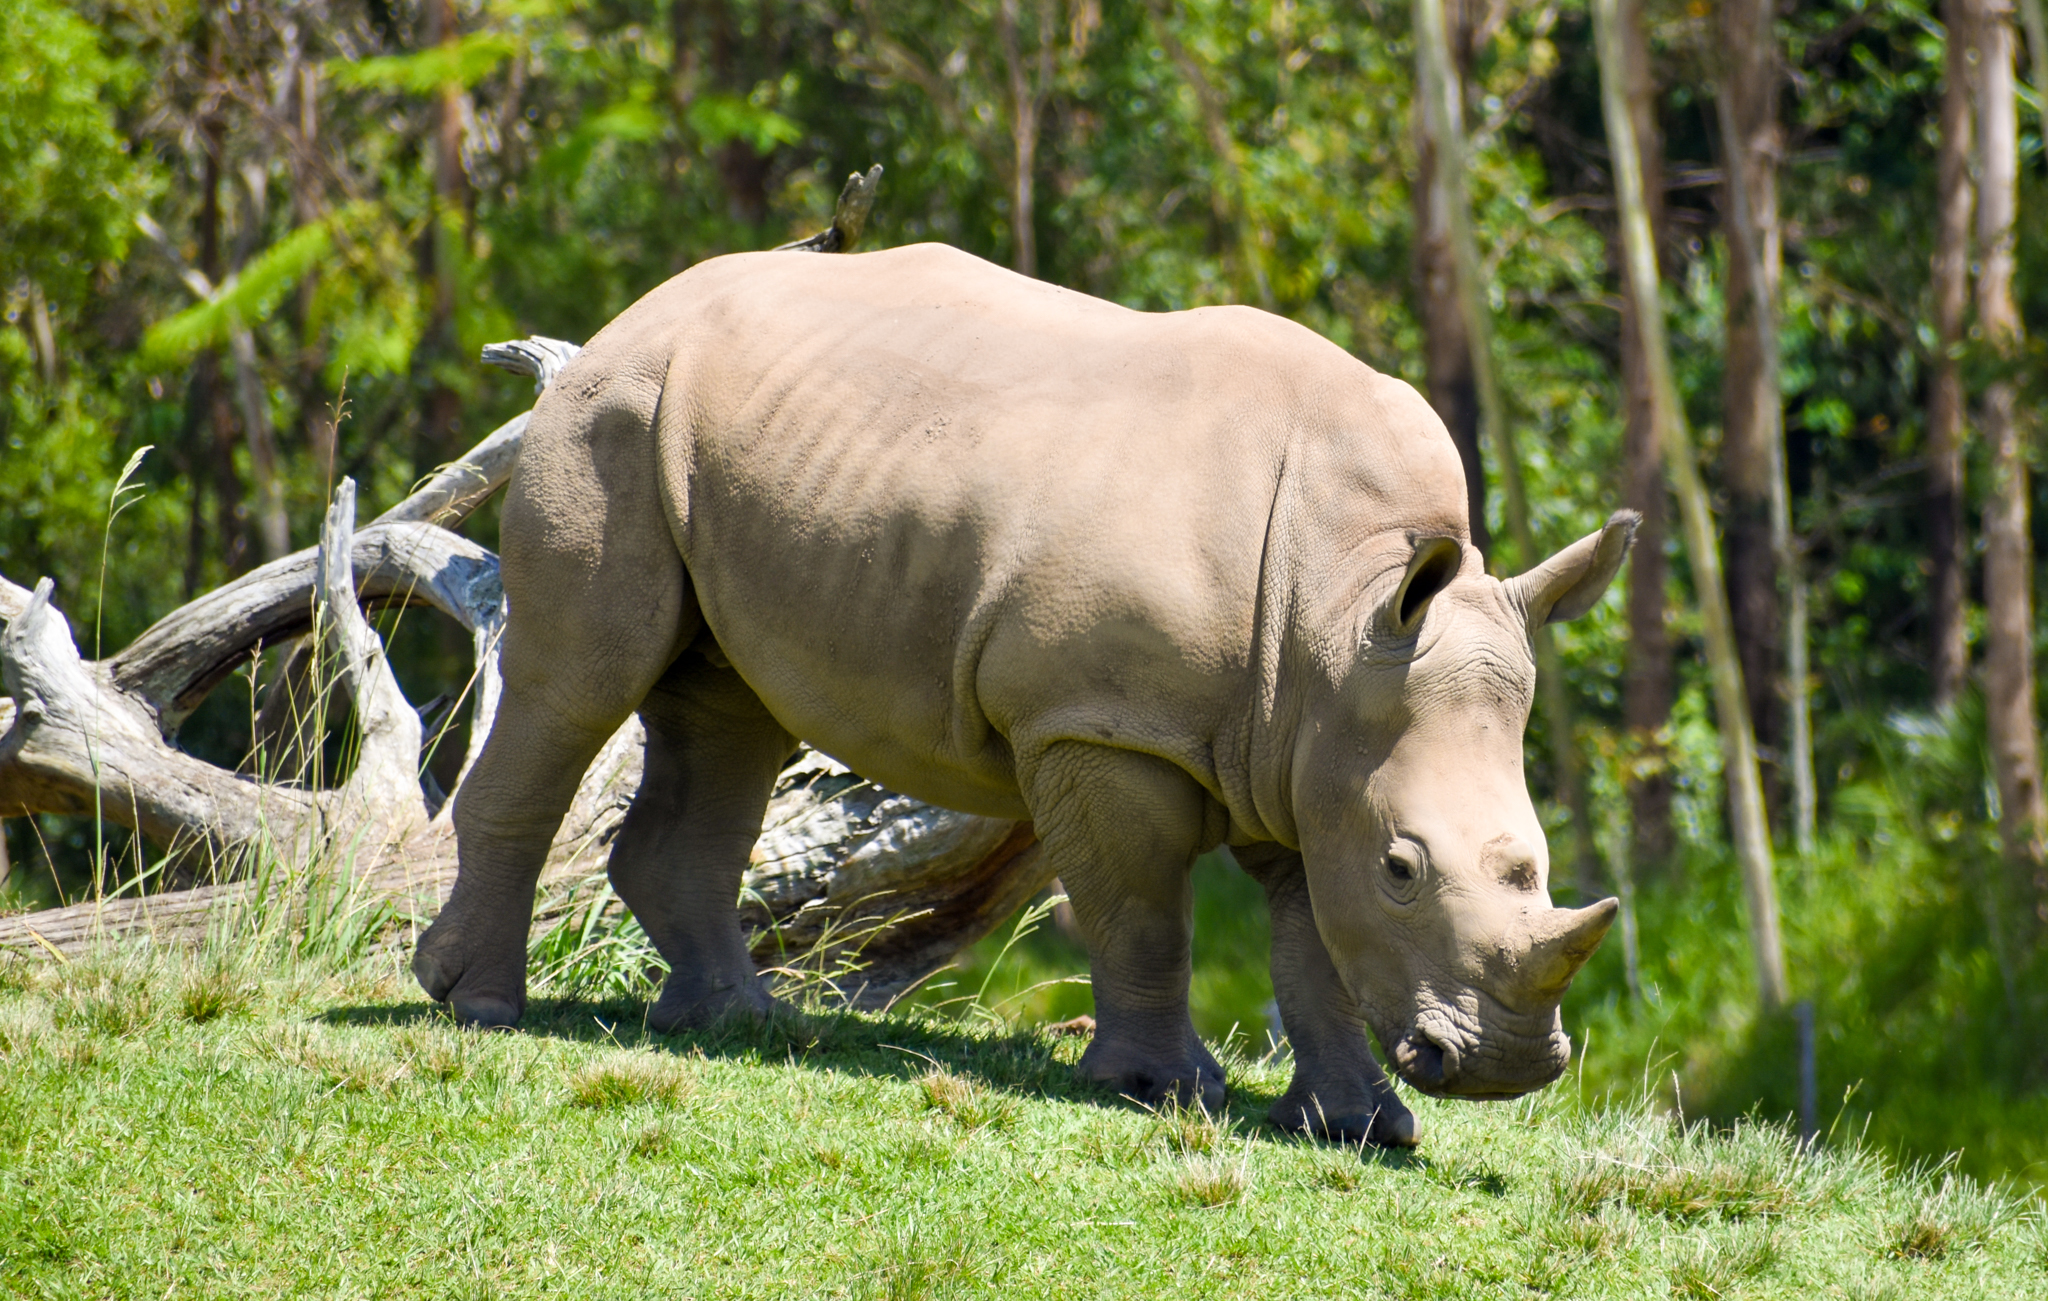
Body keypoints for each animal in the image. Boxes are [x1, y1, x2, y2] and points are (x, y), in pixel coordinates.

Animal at [414, 243, 1630, 1146]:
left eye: (1534, 865)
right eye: (1404, 867)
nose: (1506, 1068)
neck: (1340, 604)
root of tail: (634, 312)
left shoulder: (1302, 748)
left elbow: (1311, 942)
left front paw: (1362, 1127)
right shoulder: (1098, 724)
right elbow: (1143, 910)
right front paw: (1161, 1090)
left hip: (721, 437)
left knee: (727, 709)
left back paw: (739, 1024)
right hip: (608, 417)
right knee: (582, 682)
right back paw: (476, 1004)